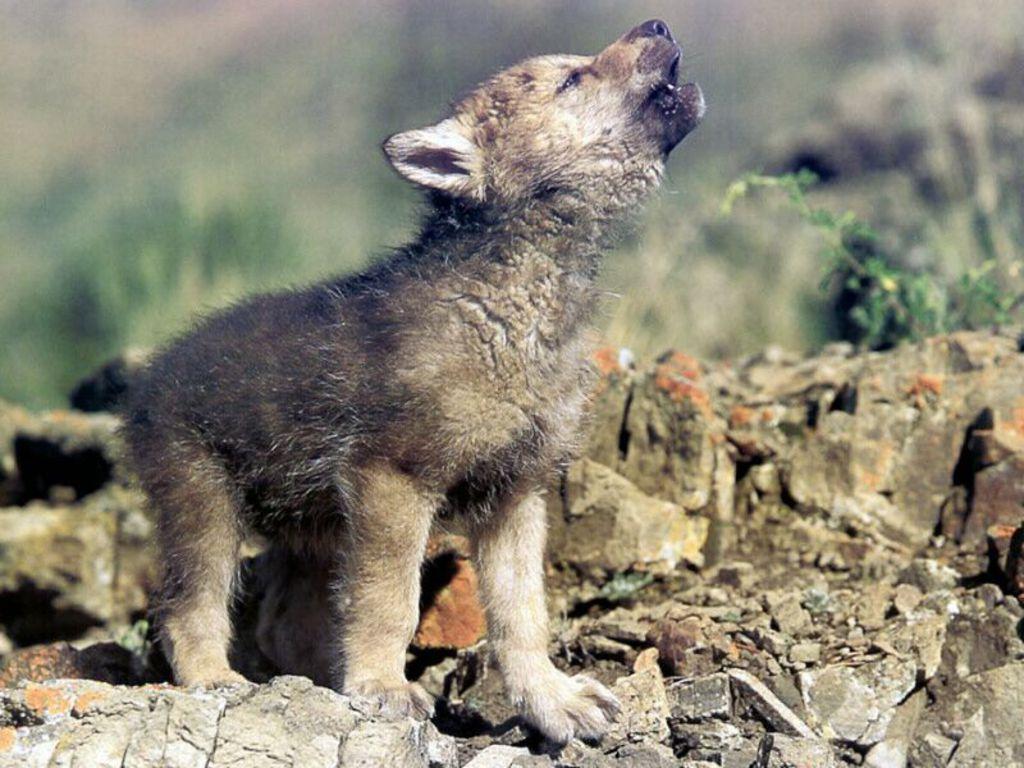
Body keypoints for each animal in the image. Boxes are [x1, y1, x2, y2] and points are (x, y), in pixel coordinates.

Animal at [124, 18, 703, 744]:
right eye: (572, 79)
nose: (659, 23)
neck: (512, 308)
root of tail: (146, 383)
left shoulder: (517, 493)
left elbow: (522, 617)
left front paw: (552, 702)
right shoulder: (394, 479)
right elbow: (389, 600)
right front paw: (382, 688)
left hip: (314, 528)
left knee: (282, 625)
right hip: (204, 505)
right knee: (186, 607)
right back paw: (215, 680)